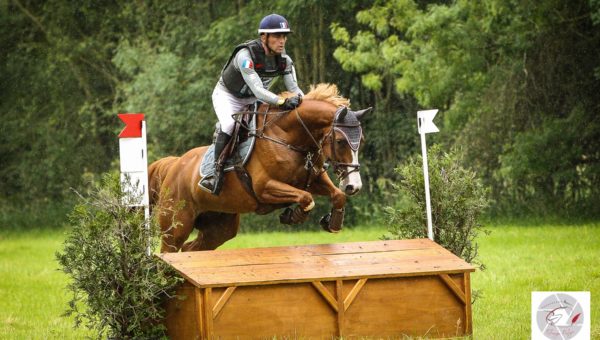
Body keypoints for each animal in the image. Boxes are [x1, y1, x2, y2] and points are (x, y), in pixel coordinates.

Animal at [148, 83, 368, 251]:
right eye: (340, 141)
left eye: (361, 141)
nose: (354, 186)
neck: (287, 137)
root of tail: (174, 164)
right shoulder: (265, 187)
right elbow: (306, 198)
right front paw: (296, 215)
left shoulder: (313, 180)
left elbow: (336, 195)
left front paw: (333, 223)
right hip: (176, 227)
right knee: (170, 251)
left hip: (219, 226)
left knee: (191, 249)